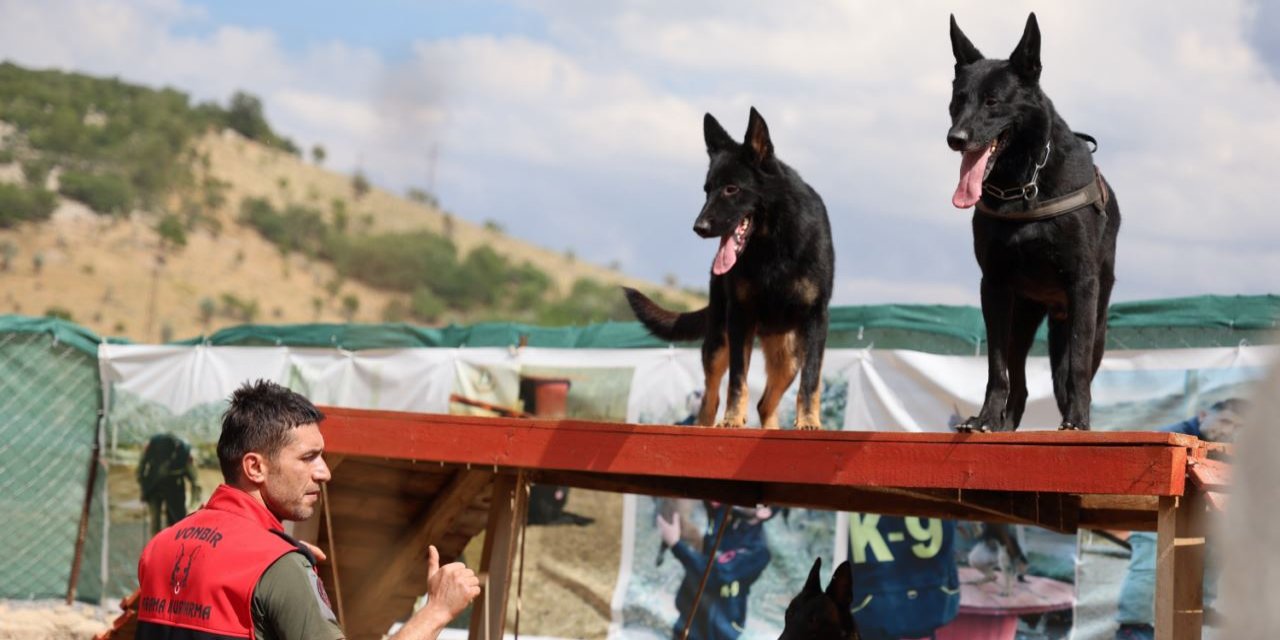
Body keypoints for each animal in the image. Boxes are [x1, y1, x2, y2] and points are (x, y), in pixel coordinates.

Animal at [622, 108, 839, 430]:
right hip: (717, 344)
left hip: (788, 357)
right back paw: (708, 424)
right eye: (707, 190)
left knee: (766, 403)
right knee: (710, 400)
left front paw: (809, 422)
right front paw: (733, 419)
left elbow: (810, 380)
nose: (698, 227)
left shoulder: (816, 318)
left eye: (731, 189)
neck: (772, 245)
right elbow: (738, 379)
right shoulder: (739, 317)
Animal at [952, 15, 1121, 432]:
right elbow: (996, 369)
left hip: (1096, 321)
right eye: (959, 99)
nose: (955, 139)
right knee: (1020, 383)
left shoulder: (1083, 284)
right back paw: (1002, 424)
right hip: (1020, 318)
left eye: (992, 101)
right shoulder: (994, 286)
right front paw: (985, 418)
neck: (1024, 184)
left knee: (1074, 369)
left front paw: (1077, 421)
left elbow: (1077, 367)